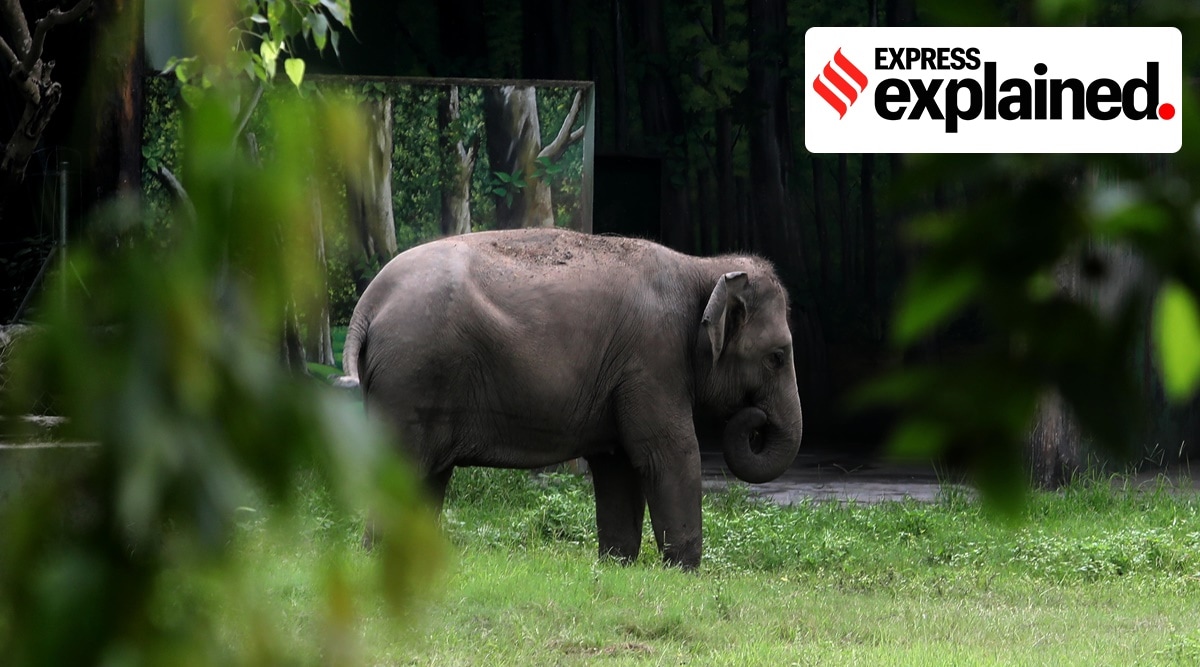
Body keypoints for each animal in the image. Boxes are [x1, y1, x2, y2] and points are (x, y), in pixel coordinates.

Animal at [341, 228, 803, 569]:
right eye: (777, 357)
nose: (756, 421)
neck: (702, 268)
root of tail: (368, 304)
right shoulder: (652, 360)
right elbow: (668, 453)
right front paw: (684, 572)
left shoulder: (627, 372)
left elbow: (617, 463)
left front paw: (617, 565)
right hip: (412, 375)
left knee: (428, 476)